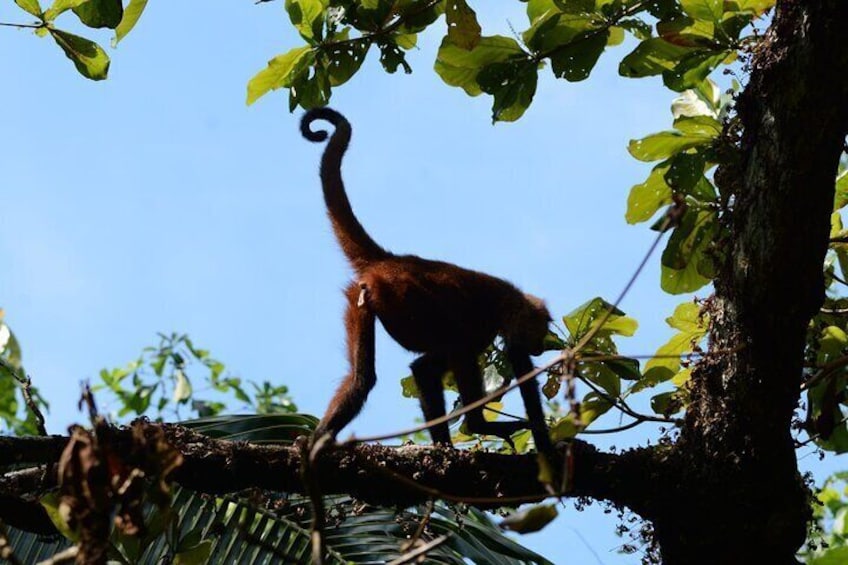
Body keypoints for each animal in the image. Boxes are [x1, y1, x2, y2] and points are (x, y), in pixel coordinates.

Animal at [302, 107, 552, 458]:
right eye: (541, 331)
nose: (542, 345)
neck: (514, 299)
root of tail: (390, 259)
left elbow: (422, 368)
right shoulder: (498, 327)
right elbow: (438, 365)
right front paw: (544, 447)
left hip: (360, 297)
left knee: (361, 378)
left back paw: (320, 436)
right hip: (403, 297)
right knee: (446, 353)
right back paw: (477, 426)